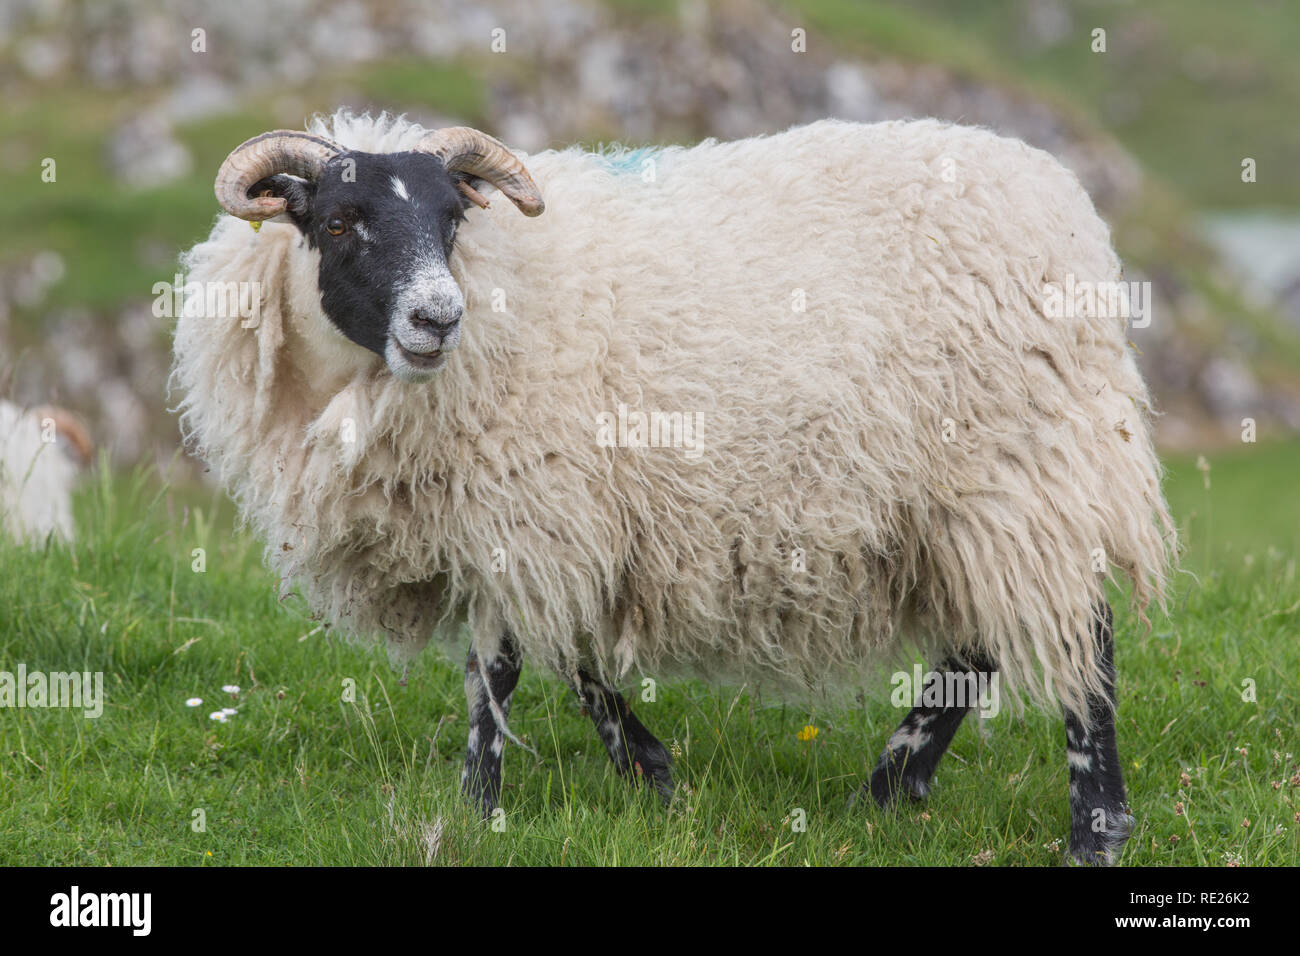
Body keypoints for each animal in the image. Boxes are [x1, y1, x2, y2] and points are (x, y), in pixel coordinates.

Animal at [171, 110, 1175, 865]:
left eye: (454, 222)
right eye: (339, 221)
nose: (437, 318)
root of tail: (1061, 199)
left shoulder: (524, 500)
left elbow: (502, 668)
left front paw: (479, 804)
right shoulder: (534, 517)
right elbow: (568, 655)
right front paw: (649, 772)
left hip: (1024, 458)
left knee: (1081, 636)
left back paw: (1094, 828)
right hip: (960, 493)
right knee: (981, 642)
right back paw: (894, 782)